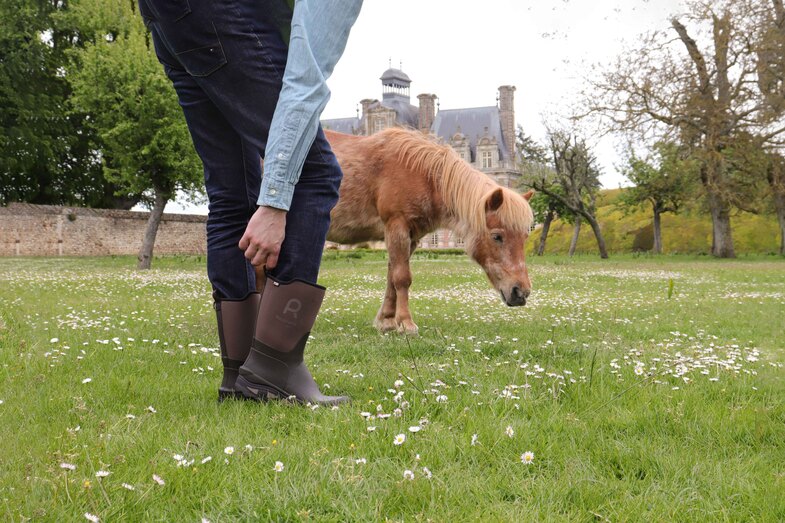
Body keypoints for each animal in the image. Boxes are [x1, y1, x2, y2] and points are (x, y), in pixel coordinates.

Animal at [324, 127, 532, 336]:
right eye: (497, 236)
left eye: (525, 236)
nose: (521, 292)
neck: (419, 172)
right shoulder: (397, 227)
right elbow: (402, 277)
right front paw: (406, 323)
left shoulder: (410, 238)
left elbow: (392, 277)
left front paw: (387, 320)